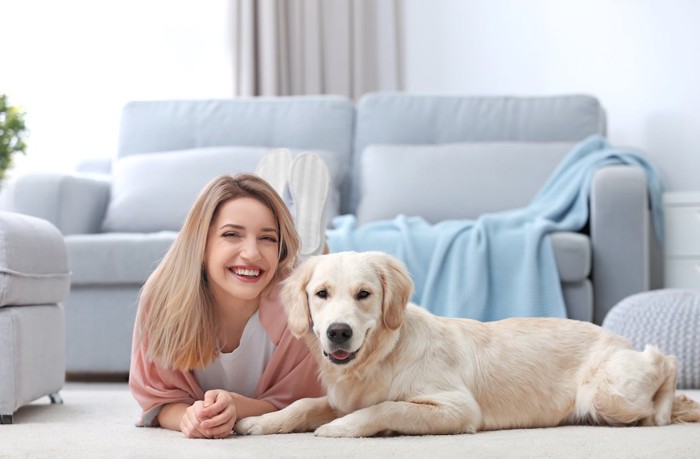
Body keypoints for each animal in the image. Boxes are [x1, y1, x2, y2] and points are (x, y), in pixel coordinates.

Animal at [237, 252, 700, 438]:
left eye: (364, 294)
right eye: (322, 294)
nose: (338, 332)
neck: (380, 358)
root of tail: (616, 335)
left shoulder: (458, 407)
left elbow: (385, 407)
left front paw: (341, 429)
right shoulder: (341, 395)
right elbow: (302, 404)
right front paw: (260, 422)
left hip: (608, 396)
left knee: (666, 360)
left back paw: (666, 410)